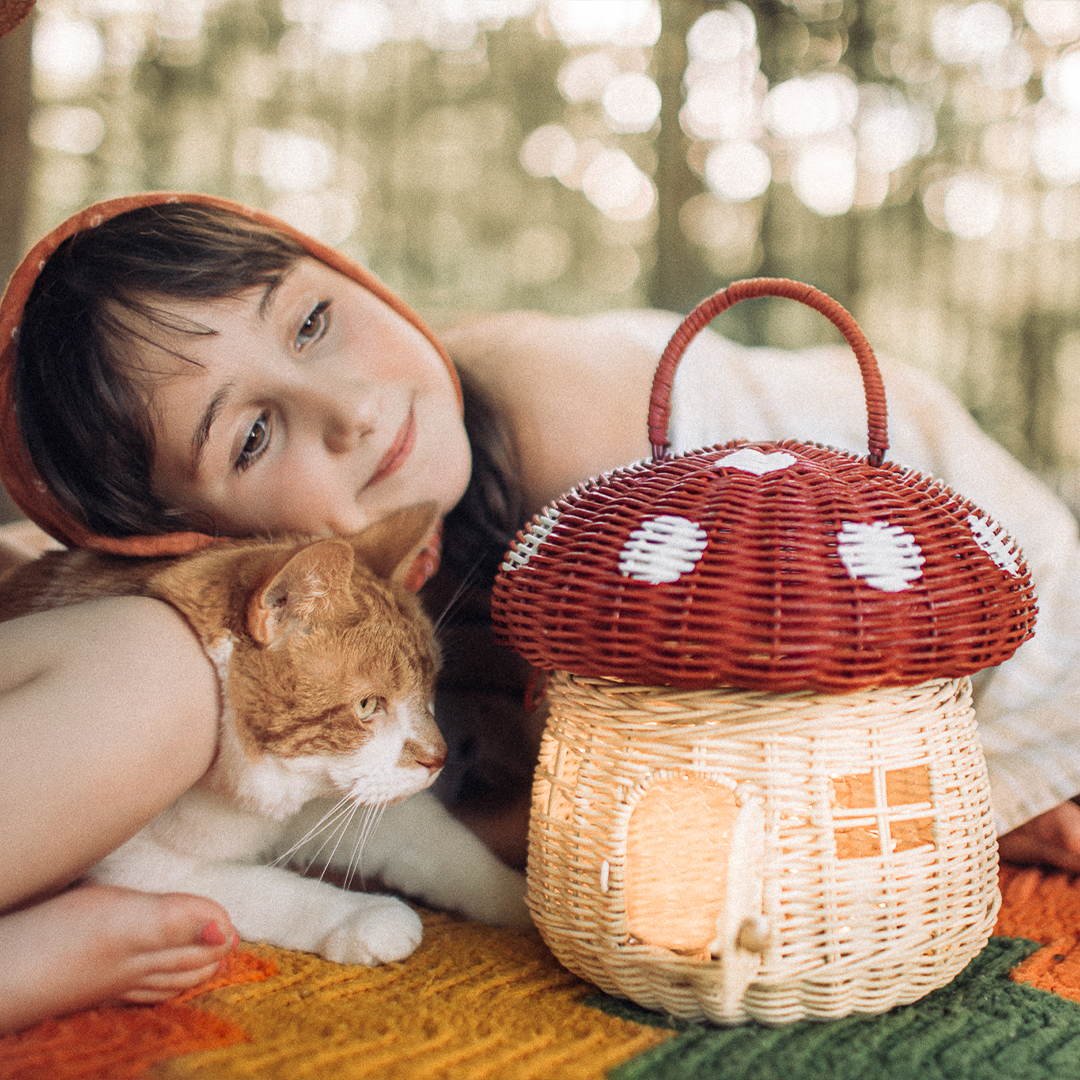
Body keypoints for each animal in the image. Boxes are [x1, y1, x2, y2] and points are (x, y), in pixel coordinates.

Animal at [0, 501, 527, 967]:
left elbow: (444, 849)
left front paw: (526, 903)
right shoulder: (138, 869)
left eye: (429, 687)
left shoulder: (342, 805)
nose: (438, 757)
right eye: (367, 705)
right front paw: (364, 915)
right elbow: (273, 891)